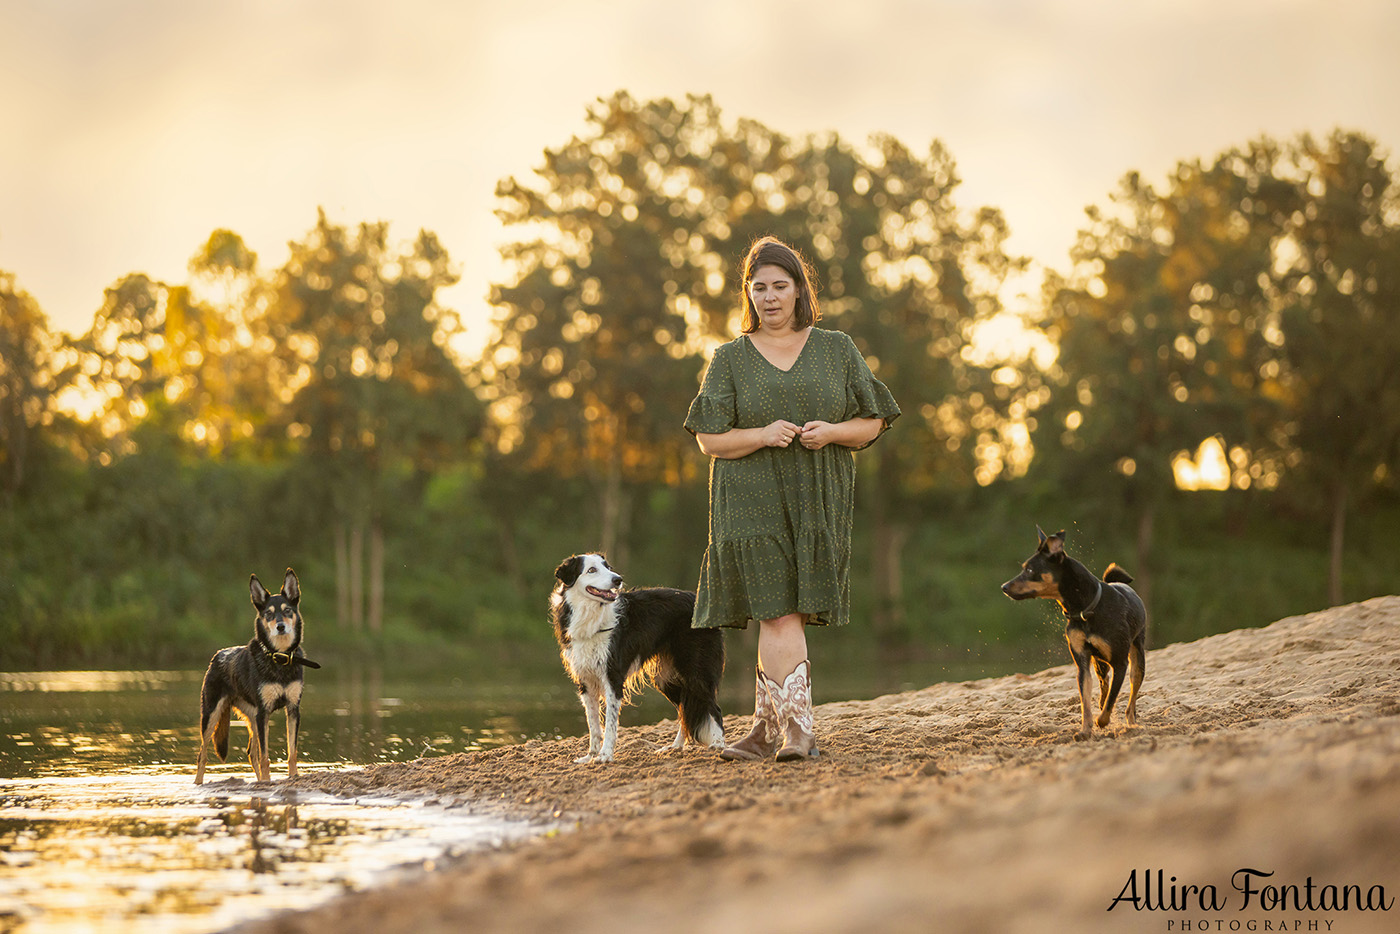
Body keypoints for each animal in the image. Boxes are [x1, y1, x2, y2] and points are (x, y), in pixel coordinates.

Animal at [196, 571, 320, 784]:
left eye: (288, 611)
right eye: (268, 614)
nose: (280, 627)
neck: (279, 658)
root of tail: (219, 654)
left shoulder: (292, 709)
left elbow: (292, 753)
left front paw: (293, 777)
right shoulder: (264, 712)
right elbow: (265, 756)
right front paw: (269, 781)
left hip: (253, 717)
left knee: (251, 753)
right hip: (212, 714)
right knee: (202, 755)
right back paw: (198, 784)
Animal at [548, 554, 728, 761]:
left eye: (608, 567)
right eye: (591, 570)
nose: (617, 579)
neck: (591, 614)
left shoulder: (613, 677)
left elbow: (610, 725)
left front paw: (605, 755)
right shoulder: (585, 681)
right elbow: (593, 725)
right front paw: (591, 756)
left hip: (695, 670)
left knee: (713, 708)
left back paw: (718, 744)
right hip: (665, 678)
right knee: (685, 709)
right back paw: (675, 747)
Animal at [996, 529, 1148, 739]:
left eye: (1029, 570)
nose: (1003, 586)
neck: (1086, 609)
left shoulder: (1120, 663)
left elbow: (1111, 701)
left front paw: (1101, 721)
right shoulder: (1083, 663)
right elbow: (1086, 701)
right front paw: (1085, 730)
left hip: (1137, 659)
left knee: (1132, 694)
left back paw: (1131, 723)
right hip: (1099, 663)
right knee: (1105, 685)